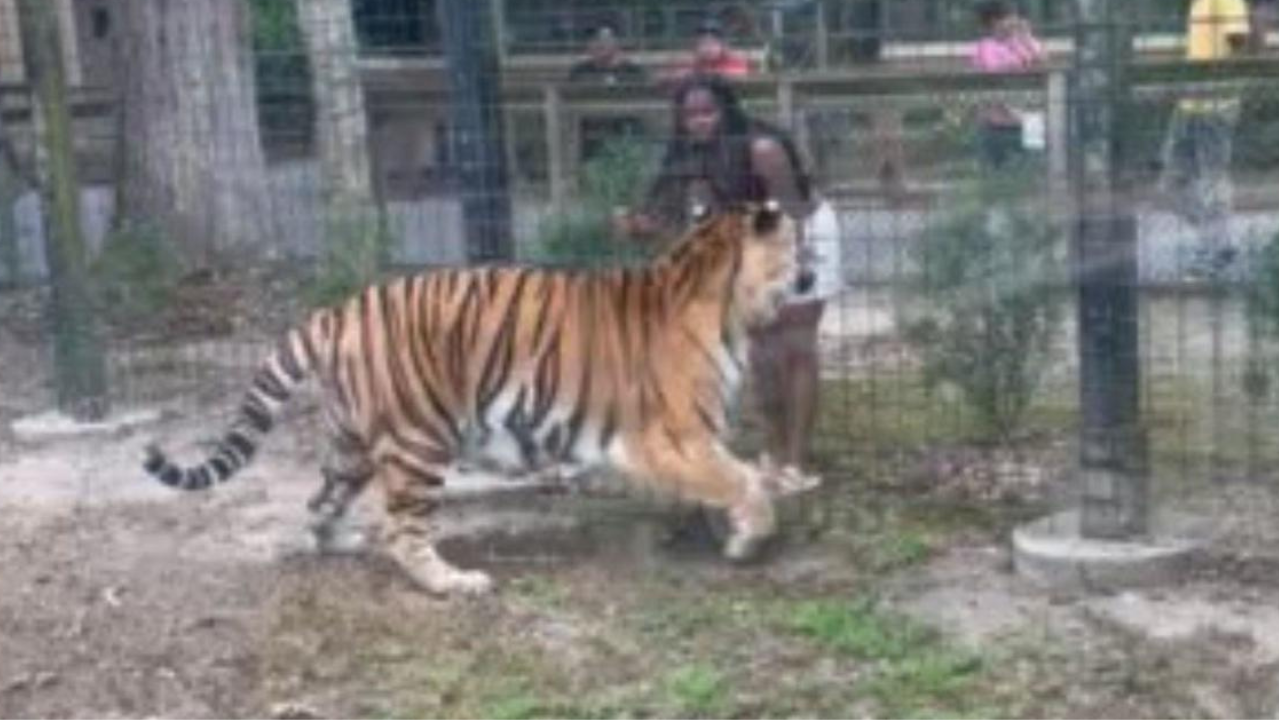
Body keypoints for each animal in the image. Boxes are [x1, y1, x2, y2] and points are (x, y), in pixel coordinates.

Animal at [145, 202, 814, 594]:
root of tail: (339, 311)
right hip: (418, 441)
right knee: (402, 530)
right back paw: (455, 582)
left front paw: (726, 528)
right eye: (800, 244)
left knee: (321, 503)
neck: (724, 296)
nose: (814, 271)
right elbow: (740, 479)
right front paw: (750, 537)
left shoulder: (691, 439)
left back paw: (341, 543)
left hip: (351, 445)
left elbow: (730, 477)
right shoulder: (671, 435)